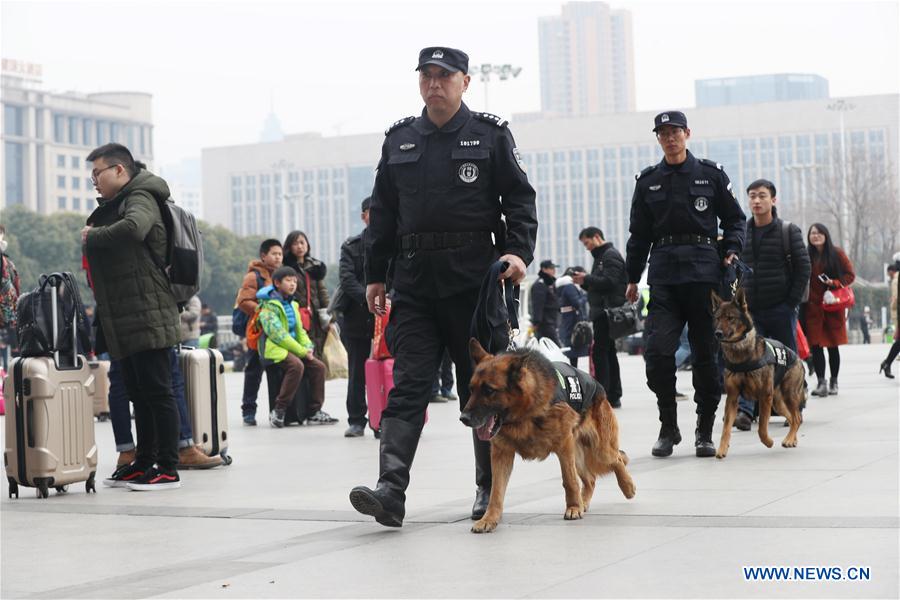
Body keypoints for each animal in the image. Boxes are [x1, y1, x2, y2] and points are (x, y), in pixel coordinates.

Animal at [460, 338, 636, 536]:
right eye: (471, 389)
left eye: (489, 390)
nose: (463, 418)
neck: (525, 412)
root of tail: (597, 385)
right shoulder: (501, 455)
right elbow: (496, 492)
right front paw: (489, 519)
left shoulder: (564, 445)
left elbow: (569, 481)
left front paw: (573, 507)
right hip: (578, 456)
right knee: (591, 479)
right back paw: (584, 502)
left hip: (598, 449)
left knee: (617, 459)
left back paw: (627, 487)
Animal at [712, 288, 804, 458]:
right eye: (717, 318)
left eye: (730, 318)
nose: (718, 333)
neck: (741, 352)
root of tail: (797, 357)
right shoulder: (732, 398)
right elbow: (726, 428)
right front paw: (722, 448)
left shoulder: (764, 396)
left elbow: (762, 427)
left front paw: (768, 442)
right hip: (778, 402)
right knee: (794, 418)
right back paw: (792, 438)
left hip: (788, 395)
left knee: (796, 417)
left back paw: (788, 439)